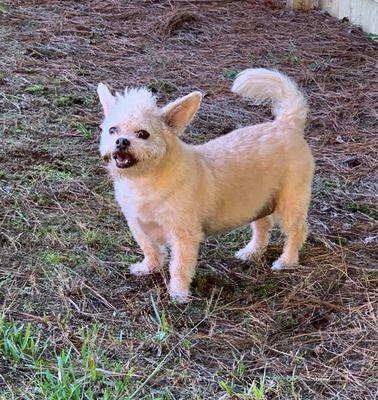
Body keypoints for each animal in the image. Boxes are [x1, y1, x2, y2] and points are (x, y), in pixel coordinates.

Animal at [96, 69, 314, 302]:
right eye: (112, 130)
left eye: (143, 134)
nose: (122, 141)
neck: (145, 179)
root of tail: (287, 123)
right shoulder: (138, 226)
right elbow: (150, 249)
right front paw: (149, 267)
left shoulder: (184, 236)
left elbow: (180, 266)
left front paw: (178, 293)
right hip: (258, 201)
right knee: (263, 227)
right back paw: (251, 252)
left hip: (290, 204)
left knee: (298, 231)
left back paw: (286, 261)